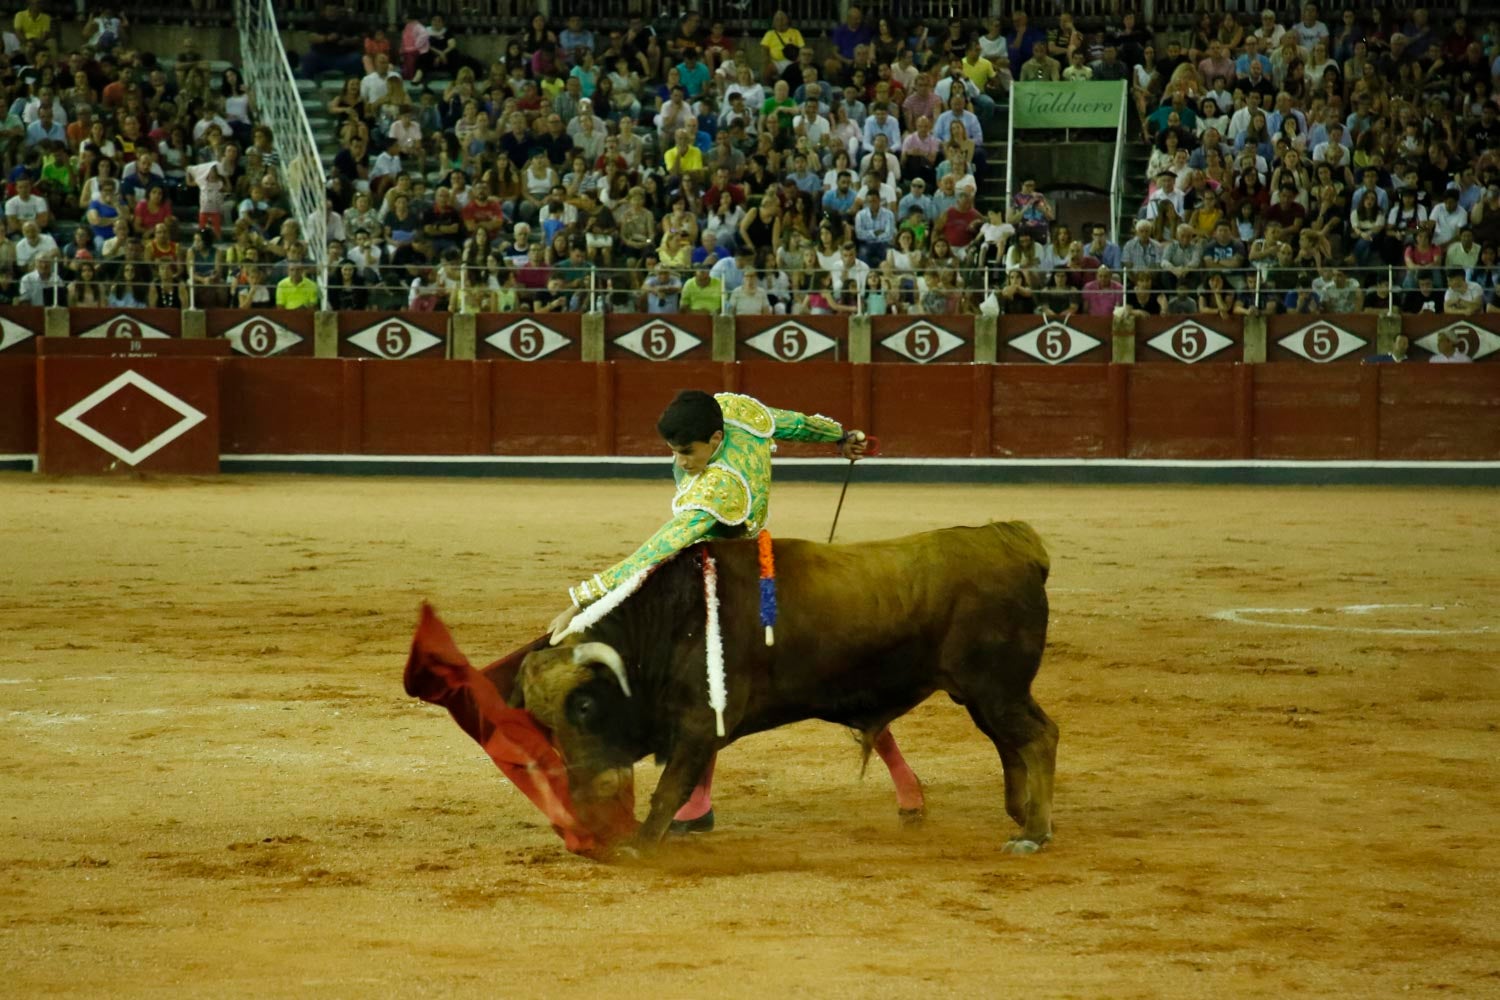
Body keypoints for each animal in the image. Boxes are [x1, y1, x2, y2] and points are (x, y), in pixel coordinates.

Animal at [513, 521, 1056, 857]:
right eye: (544, 723)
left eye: (585, 705)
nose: (583, 809)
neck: (672, 623)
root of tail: (1014, 541)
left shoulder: (699, 724)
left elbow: (668, 790)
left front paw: (640, 845)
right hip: (984, 693)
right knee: (1009, 742)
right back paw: (1020, 813)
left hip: (996, 688)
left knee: (1037, 738)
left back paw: (1033, 832)